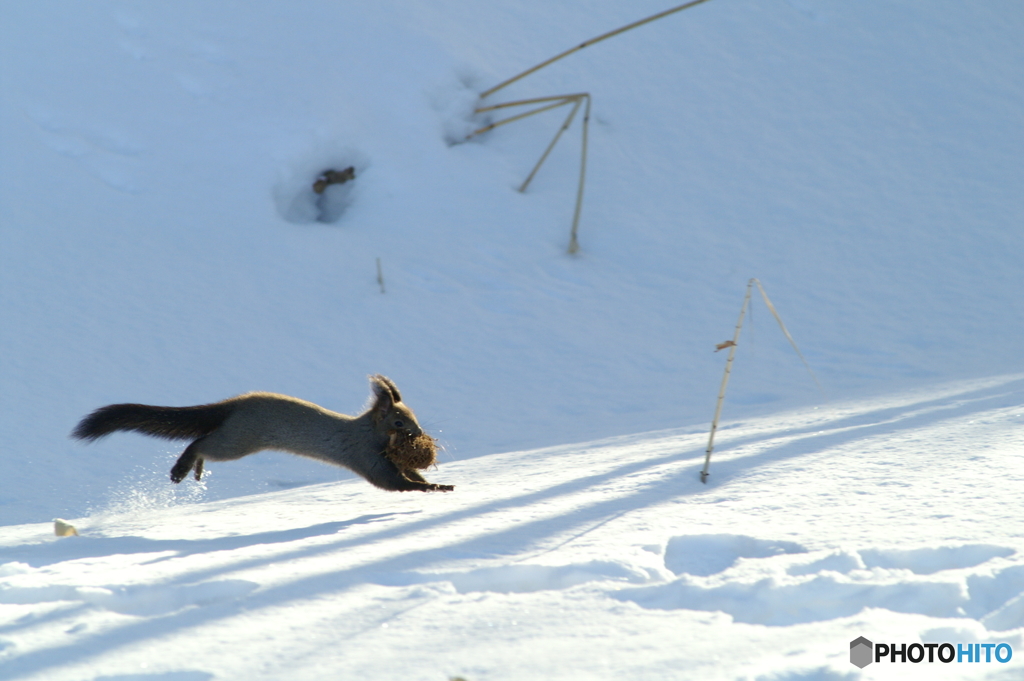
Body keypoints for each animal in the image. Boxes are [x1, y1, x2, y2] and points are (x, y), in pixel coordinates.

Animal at [71, 374, 452, 491]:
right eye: (399, 422)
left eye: (413, 417)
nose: (421, 433)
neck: (369, 434)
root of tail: (233, 404)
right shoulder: (366, 457)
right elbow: (396, 483)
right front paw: (435, 488)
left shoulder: (387, 459)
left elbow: (409, 474)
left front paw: (438, 483)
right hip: (239, 439)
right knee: (201, 442)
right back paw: (182, 468)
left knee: (204, 444)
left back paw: (194, 470)